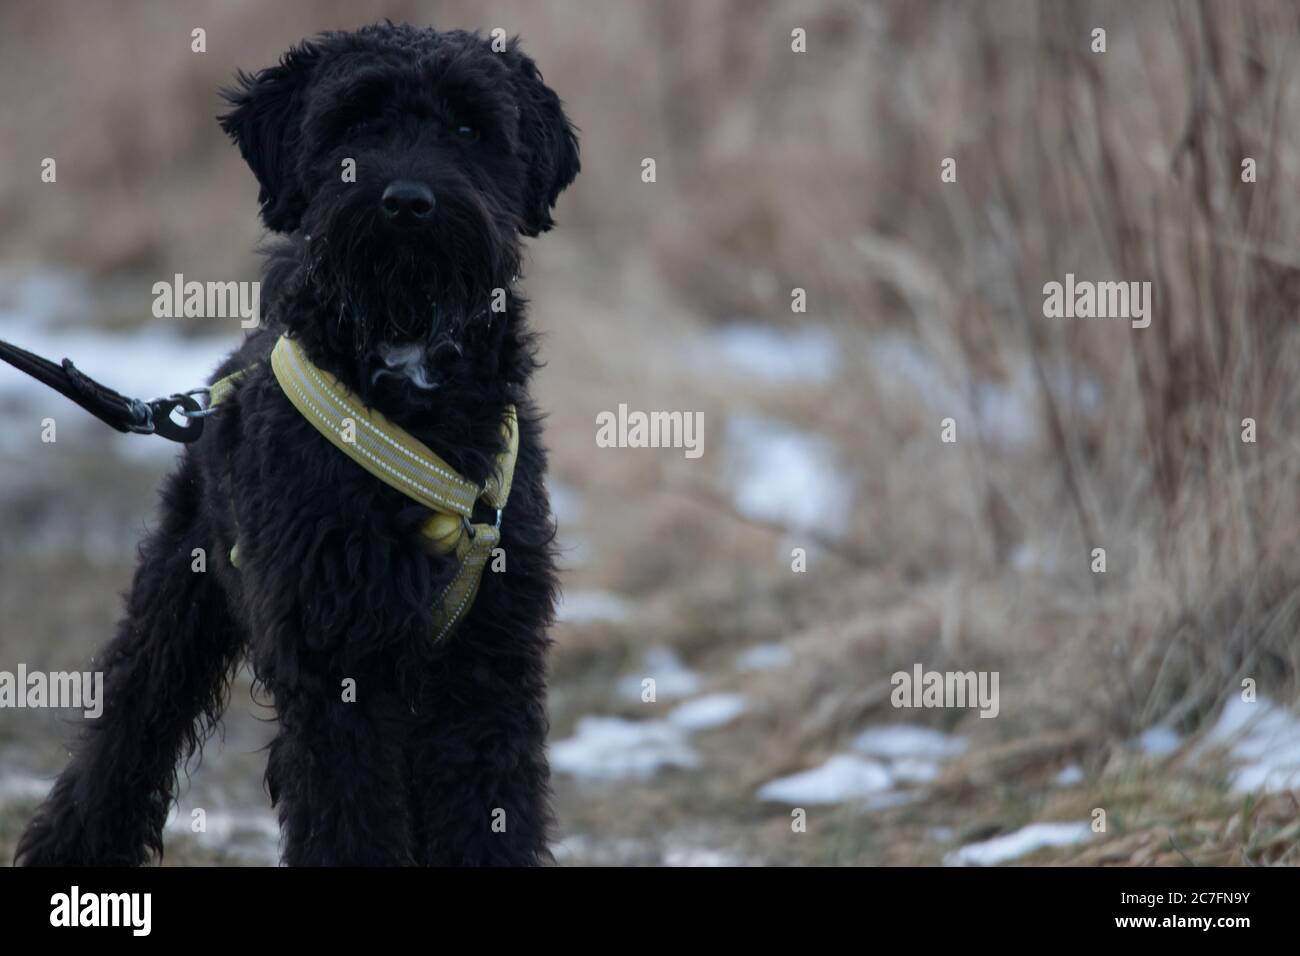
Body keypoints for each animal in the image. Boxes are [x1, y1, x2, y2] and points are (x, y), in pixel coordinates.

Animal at [17, 22, 577, 863]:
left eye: (469, 127)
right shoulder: (334, 661)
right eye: (354, 121)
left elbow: (489, 811)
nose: (407, 202)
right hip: (178, 604)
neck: (406, 383)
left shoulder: (488, 666)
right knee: (126, 736)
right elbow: (348, 820)